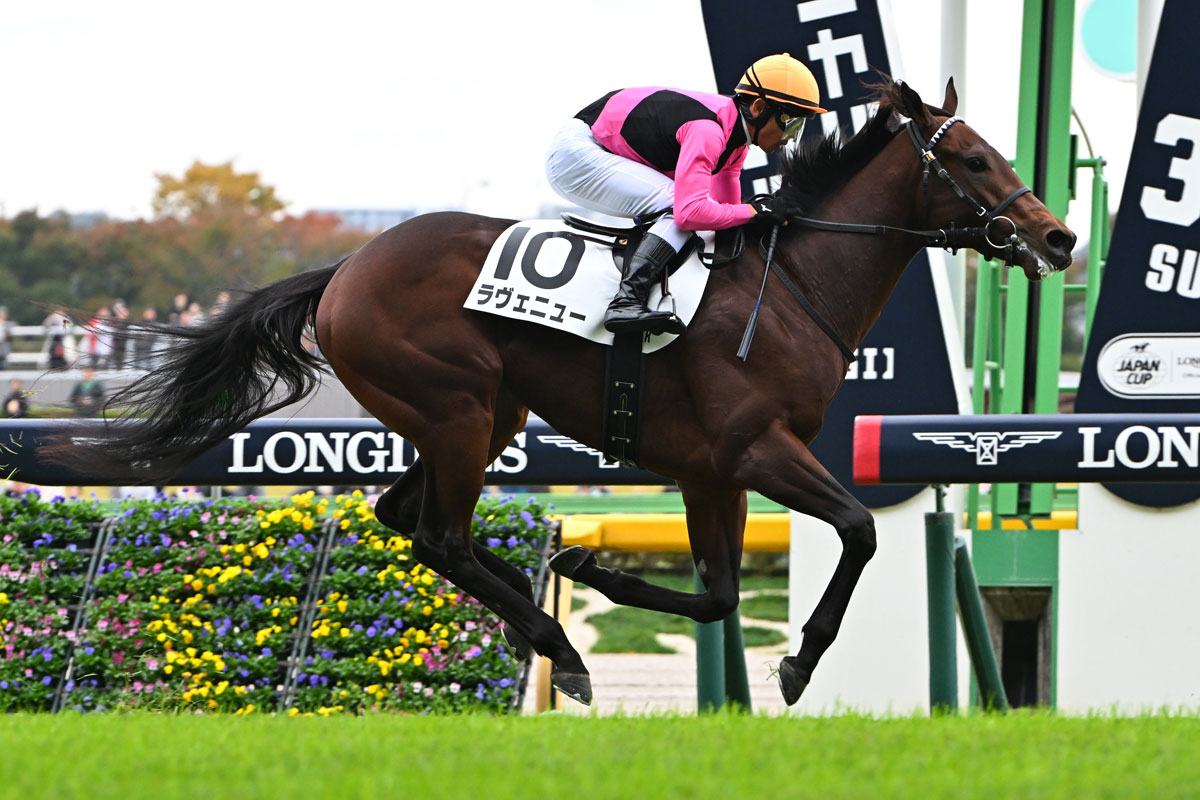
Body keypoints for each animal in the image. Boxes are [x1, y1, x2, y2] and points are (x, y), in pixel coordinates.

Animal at [54, 78, 1075, 706]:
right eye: (975, 161)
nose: (1059, 237)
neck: (791, 287)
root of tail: (347, 266)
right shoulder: (756, 450)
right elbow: (858, 530)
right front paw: (794, 663)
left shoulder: (712, 471)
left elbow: (716, 597)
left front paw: (592, 567)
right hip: (457, 409)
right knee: (439, 536)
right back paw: (561, 644)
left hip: (477, 414)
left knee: (405, 518)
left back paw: (539, 616)